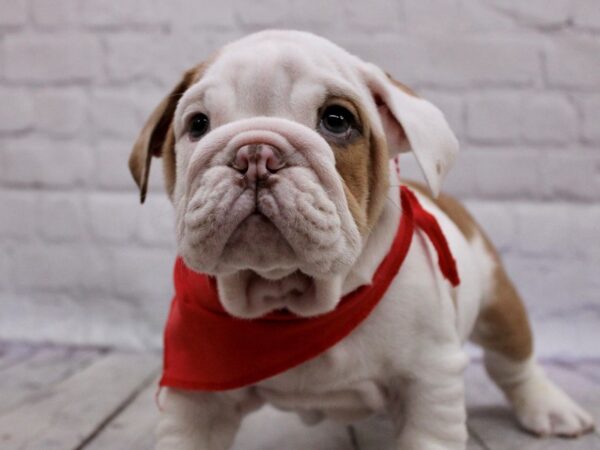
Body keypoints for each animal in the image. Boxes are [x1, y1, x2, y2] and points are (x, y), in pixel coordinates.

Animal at [129, 29, 592, 448]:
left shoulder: (431, 378)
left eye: (337, 120)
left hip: (498, 300)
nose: (255, 154)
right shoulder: (197, 399)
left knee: (513, 362)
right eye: (197, 124)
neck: (290, 300)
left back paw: (551, 408)